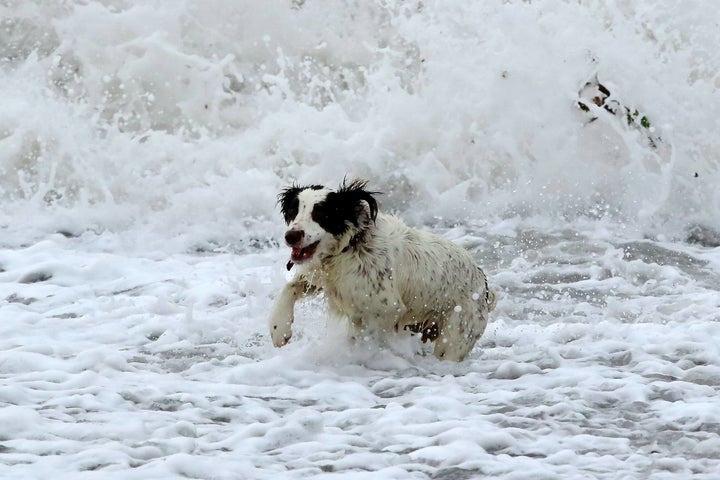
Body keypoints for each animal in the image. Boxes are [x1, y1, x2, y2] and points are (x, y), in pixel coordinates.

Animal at [268, 179, 498, 360]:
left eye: (321, 213)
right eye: (293, 211)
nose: (291, 236)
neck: (352, 245)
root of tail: (483, 282)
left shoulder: (386, 308)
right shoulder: (323, 280)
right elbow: (289, 288)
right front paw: (279, 330)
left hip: (455, 336)